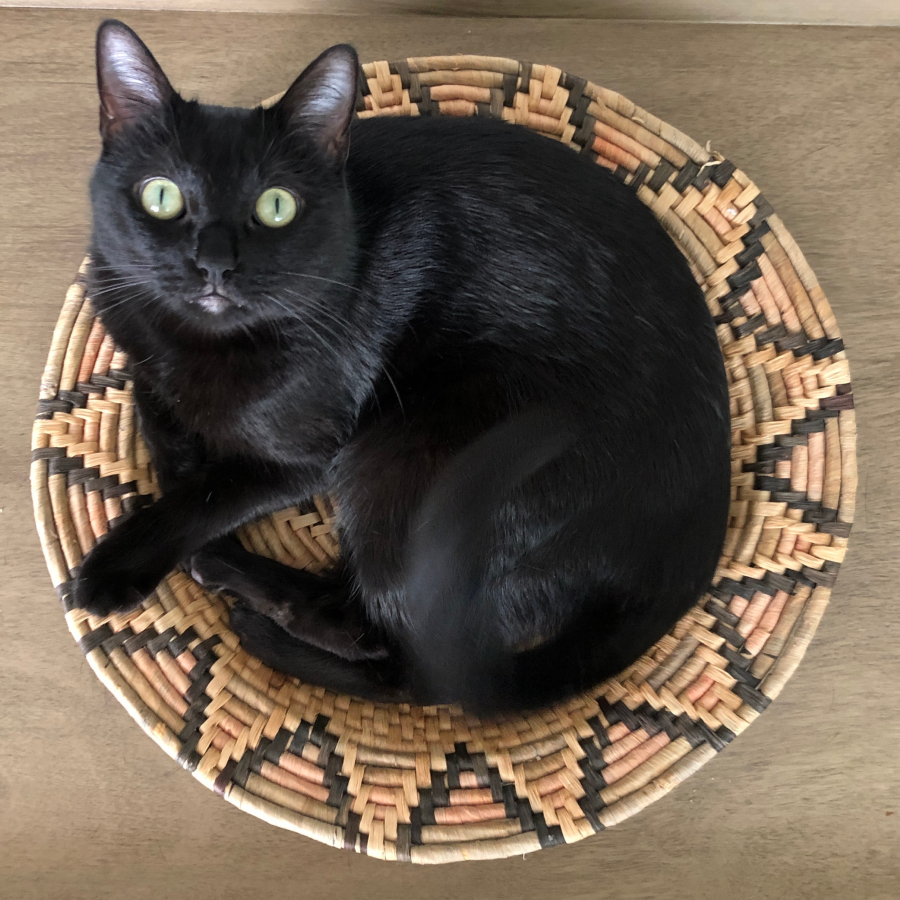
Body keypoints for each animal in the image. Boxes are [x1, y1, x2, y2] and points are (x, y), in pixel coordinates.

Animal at [77, 17, 732, 712]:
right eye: (162, 197)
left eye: (276, 206)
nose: (215, 265)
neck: (199, 343)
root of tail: (685, 556)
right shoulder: (142, 355)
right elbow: (164, 433)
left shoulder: (306, 459)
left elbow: (202, 496)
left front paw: (118, 567)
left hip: (401, 457)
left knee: (398, 654)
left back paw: (243, 593)